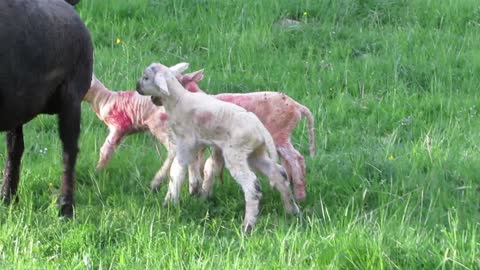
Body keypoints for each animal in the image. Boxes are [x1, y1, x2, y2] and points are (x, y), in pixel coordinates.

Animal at [0, 0, 94, 216]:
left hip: (71, 97)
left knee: (69, 151)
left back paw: (66, 208)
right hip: (17, 105)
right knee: (15, 149)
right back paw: (8, 198)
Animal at [135, 61, 300, 232]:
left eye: (146, 77)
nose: (137, 86)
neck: (177, 100)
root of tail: (260, 128)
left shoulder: (185, 143)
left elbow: (176, 171)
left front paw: (170, 202)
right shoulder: (195, 145)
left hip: (236, 152)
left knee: (252, 186)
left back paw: (248, 225)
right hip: (255, 153)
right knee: (279, 174)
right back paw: (291, 211)